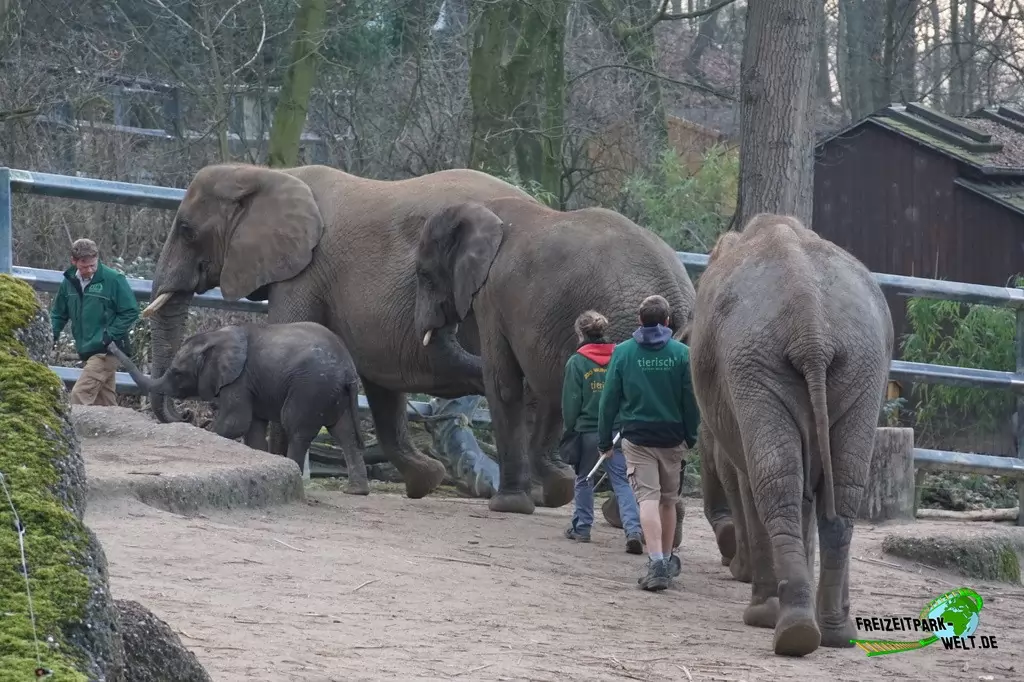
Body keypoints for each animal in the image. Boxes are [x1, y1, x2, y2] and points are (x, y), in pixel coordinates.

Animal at [105, 320, 370, 495]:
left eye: (178, 373)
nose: (109, 344)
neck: (215, 337)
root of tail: (349, 370)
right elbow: (252, 428)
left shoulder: (239, 379)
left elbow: (236, 422)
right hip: (332, 392)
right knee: (344, 432)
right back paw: (356, 491)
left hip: (312, 387)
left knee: (296, 427)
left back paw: (298, 472)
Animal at [136, 162, 581, 510]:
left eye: (186, 230)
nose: (185, 416)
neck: (266, 173)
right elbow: (382, 386)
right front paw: (425, 480)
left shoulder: (305, 271)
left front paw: (281, 463)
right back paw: (552, 491)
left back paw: (537, 493)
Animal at [413, 198, 697, 514]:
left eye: (424, 274)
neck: (484, 209)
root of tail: (676, 293)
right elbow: (556, 391)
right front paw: (557, 483)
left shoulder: (491, 298)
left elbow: (504, 385)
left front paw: (509, 505)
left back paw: (617, 514)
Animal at [687, 213, 893, 657]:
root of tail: (810, 323)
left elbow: (744, 477)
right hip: (859, 365)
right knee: (841, 491)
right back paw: (831, 632)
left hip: (758, 365)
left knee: (772, 482)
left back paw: (780, 625)